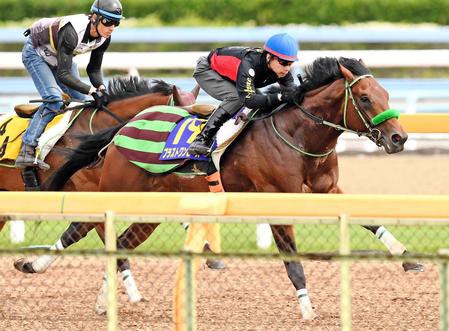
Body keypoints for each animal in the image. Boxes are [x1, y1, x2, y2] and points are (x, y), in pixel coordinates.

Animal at [36, 56, 422, 320]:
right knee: (99, 232)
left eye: (386, 93)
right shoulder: (275, 200)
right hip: (119, 190)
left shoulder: (328, 191)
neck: (298, 134)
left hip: (156, 205)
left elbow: (369, 219)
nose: (399, 138)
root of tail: (126, 126)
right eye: (365, 98)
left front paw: (407, 257)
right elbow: (291, 259)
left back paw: (104, 298)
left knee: (120, 242)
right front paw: (307, 308)